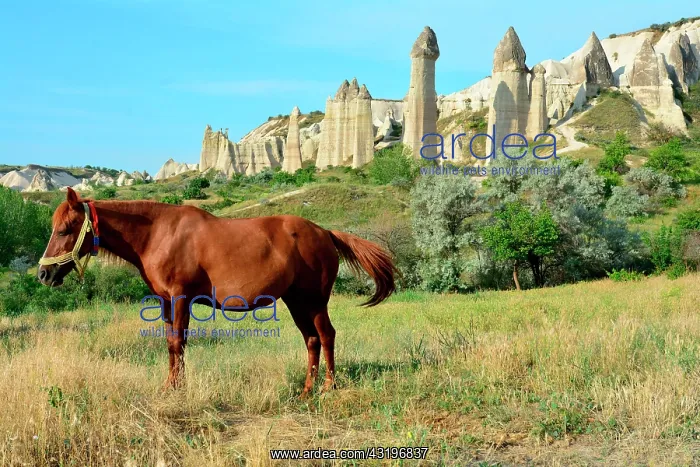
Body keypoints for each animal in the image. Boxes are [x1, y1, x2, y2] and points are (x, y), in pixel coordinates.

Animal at [38, 187, 397, 394]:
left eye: (65, 229)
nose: (44, 273)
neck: (158, 233)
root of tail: (325, 232)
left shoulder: (181, 298)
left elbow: (177, 343)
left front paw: (177, 389)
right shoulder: (166, 303)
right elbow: (172, 344)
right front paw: (170, 385)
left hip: (314, 301)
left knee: (326, 336)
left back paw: (328, 387)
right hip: (296, 301)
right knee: (311, 340)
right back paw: (308, 388)